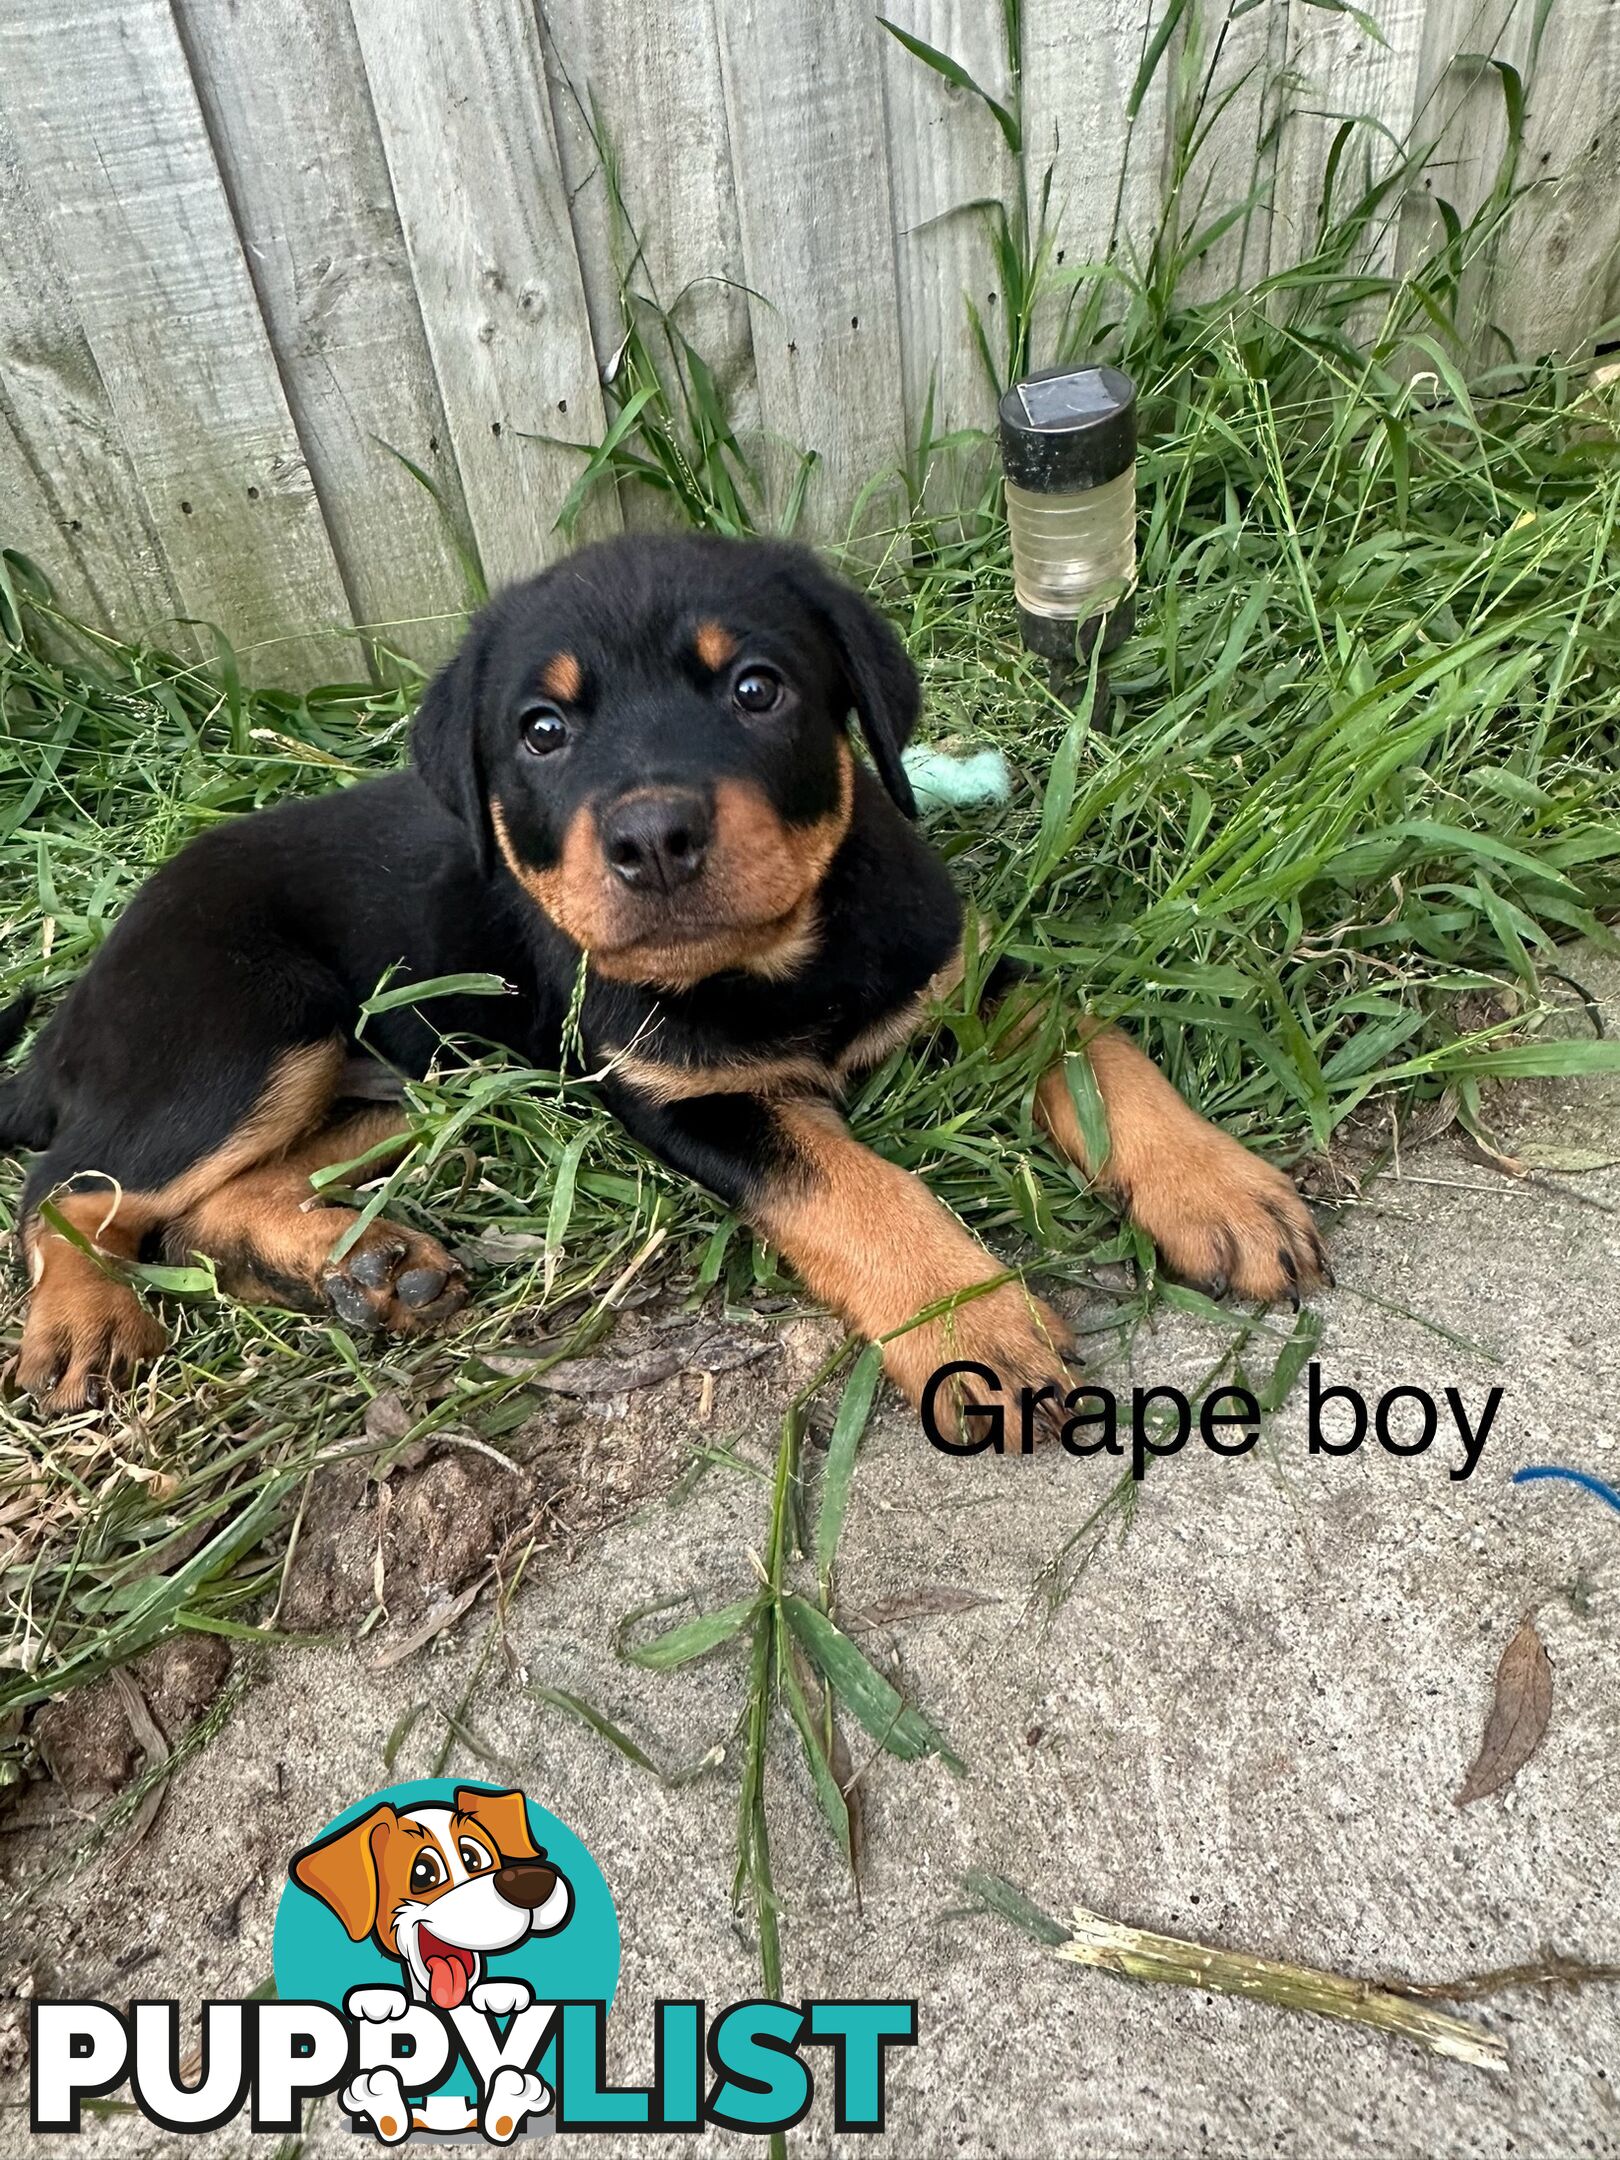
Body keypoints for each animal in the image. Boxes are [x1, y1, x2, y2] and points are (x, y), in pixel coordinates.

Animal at [0, 533, 1321, 1425]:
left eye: (756, 688)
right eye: (541, 731)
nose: (652, 838)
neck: (781, 956)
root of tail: (77, 1002)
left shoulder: (956, 971)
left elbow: (1094, 1036)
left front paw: (1218, 1189)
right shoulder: (685, 1098)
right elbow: (858, 1188)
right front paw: (975, 1327)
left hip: (400, 1083)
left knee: (198, 1202)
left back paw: (362, 1267)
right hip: (248, 1030)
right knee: (70, 1188)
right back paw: (86, 1325)